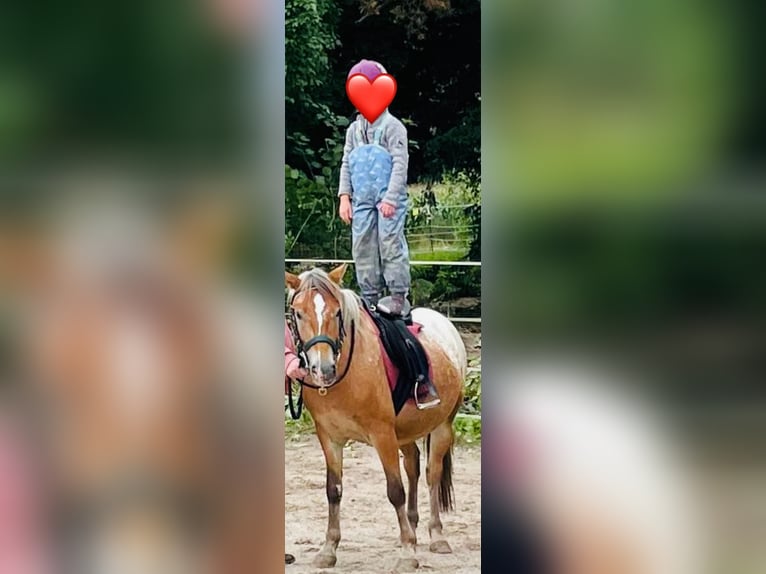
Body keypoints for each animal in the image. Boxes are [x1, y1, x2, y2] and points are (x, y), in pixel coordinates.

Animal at [284, 263, 467, 571]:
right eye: (298, 313)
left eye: (337, 312)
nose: (324, 369)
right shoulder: (329, 437)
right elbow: (333, 490)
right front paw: (328, 549)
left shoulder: (382, 435)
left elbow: (395, 491)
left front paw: (407, 554)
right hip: (405, 432)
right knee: (414, 466)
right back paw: (413, 526)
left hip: (442, 426)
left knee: (432, 474)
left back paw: (436, 535)